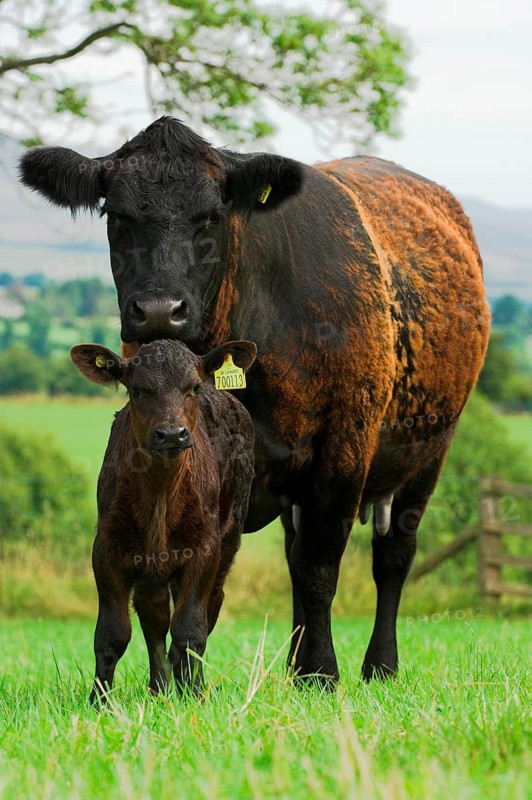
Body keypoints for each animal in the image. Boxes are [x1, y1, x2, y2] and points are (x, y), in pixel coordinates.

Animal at [69, 337, 256, 701]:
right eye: (138, 390)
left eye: (193, 387)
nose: (171, 434)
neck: (160, 494)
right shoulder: (106, 550)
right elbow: (112, 633)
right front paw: (99, 701)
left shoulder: (204, 550)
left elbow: (190, 629)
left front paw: (194, 695)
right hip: (151, 569)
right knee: (153, 618)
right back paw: (160, 688)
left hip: (227, 545)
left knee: (206, 611)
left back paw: (184, 685)